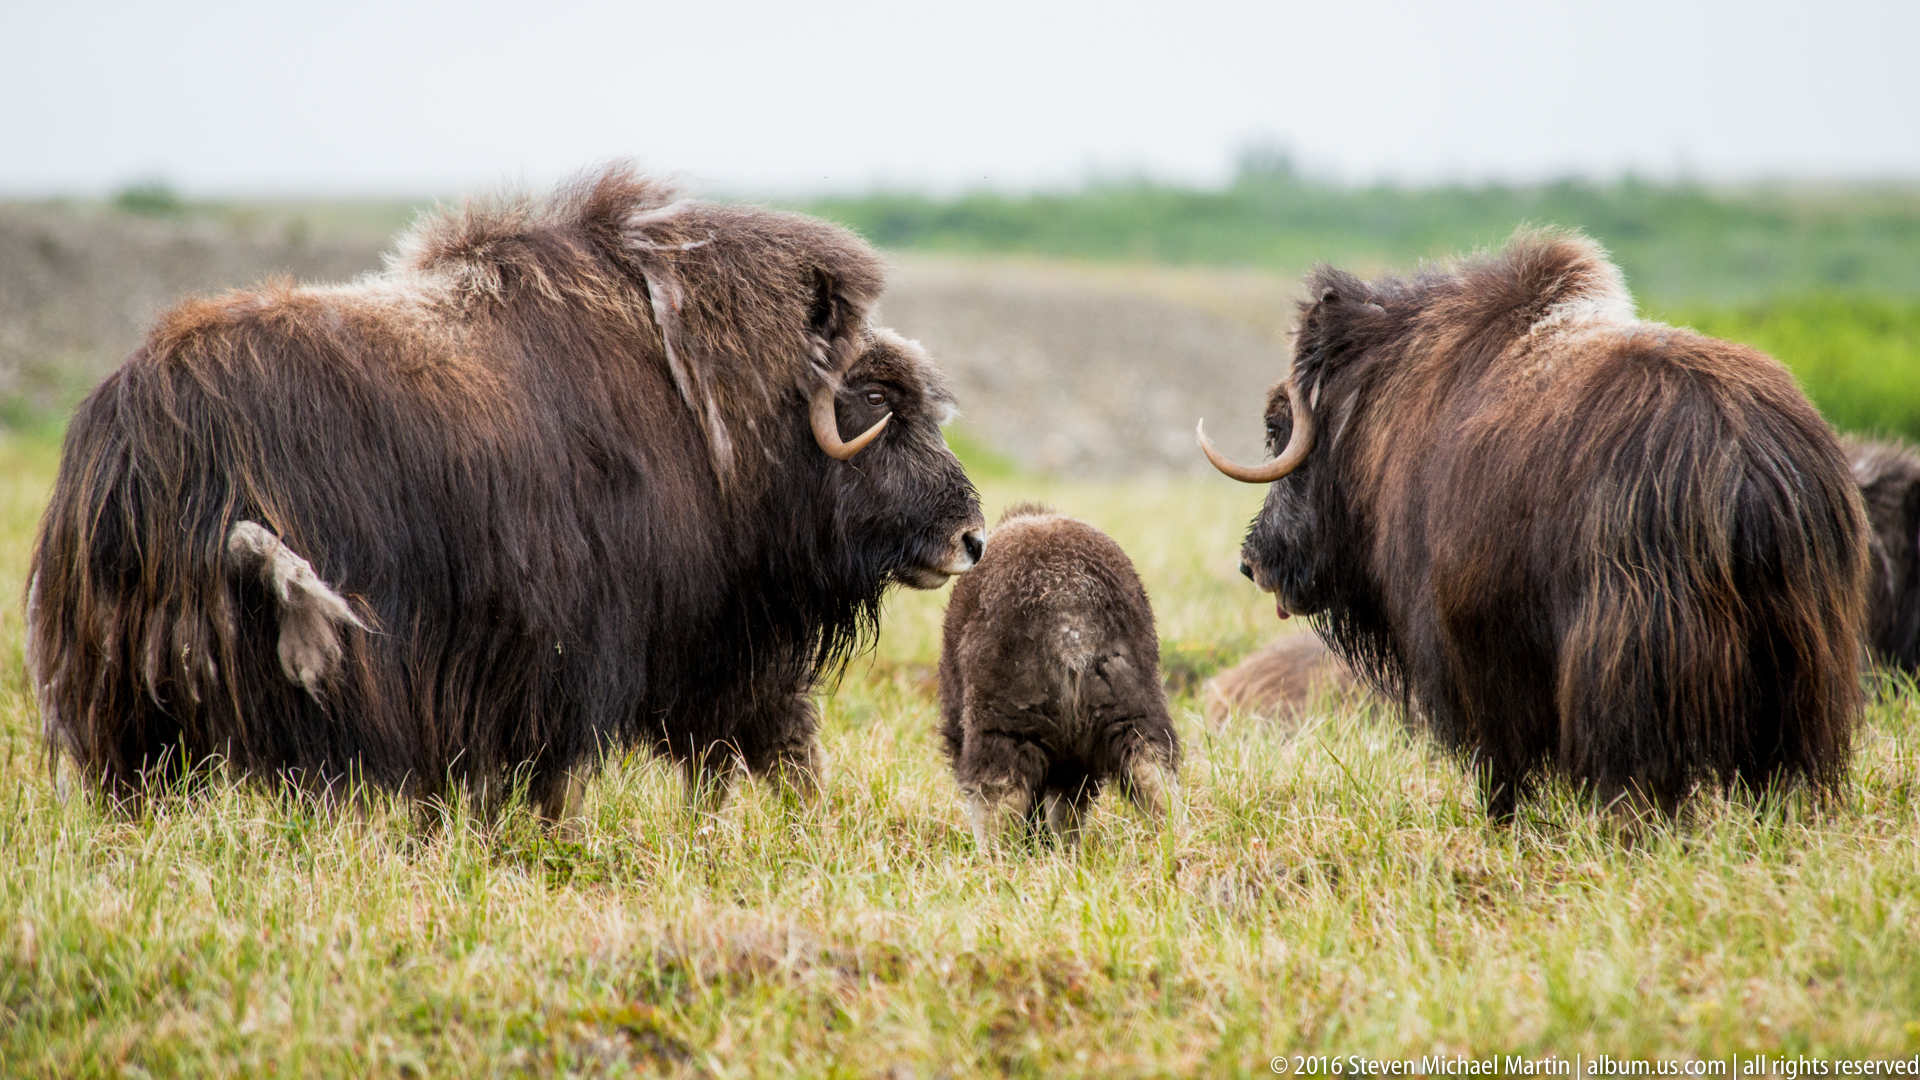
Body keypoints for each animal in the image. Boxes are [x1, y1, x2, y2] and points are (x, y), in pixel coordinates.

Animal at [936, 499, 1175, 845]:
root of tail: (1068, 606)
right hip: (1134, 706)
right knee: (1153, 774)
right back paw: (1171, 839)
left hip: (1006, 718)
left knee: (1000, 794)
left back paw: (996, 855)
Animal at [1205, 228, 1866, 814]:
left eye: (1277, 426)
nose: (1252, 562)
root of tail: (1747, 469)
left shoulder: (1466, 645)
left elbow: (1498, 757)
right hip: (1805, 674)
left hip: (1629, 649)